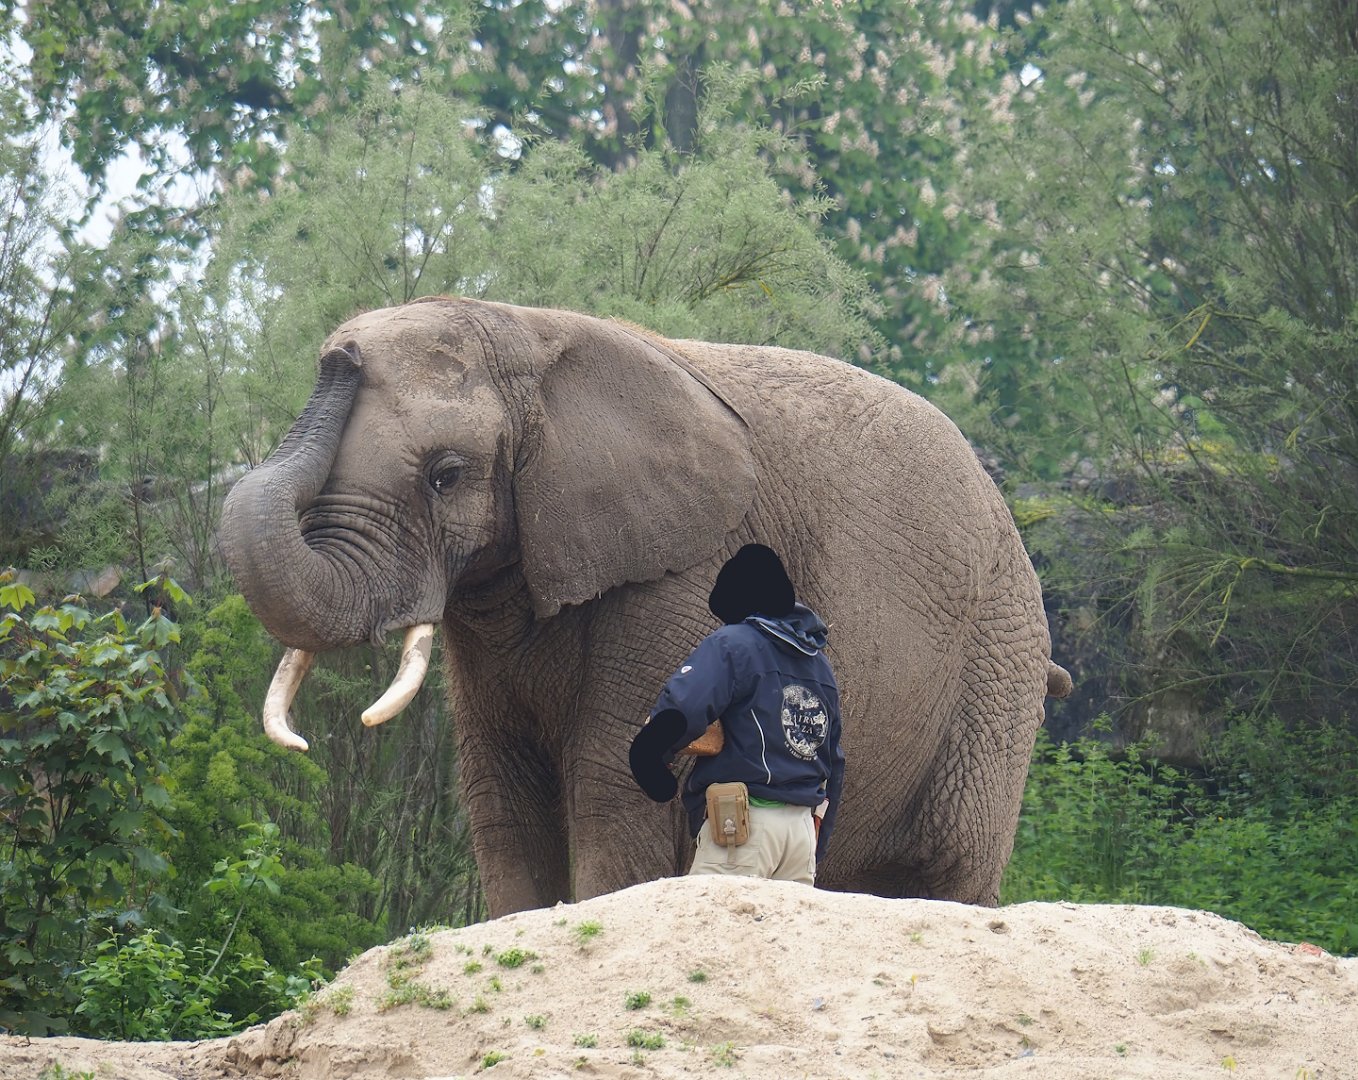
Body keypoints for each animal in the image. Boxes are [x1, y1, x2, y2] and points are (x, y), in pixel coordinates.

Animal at [219, 296, 1073, 918]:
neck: (527, 328)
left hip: (997, 655)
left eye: (447, 475)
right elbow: (500, 792)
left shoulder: (684, 567)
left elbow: (616, 777)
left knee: (951, 866)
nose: (340, 355)